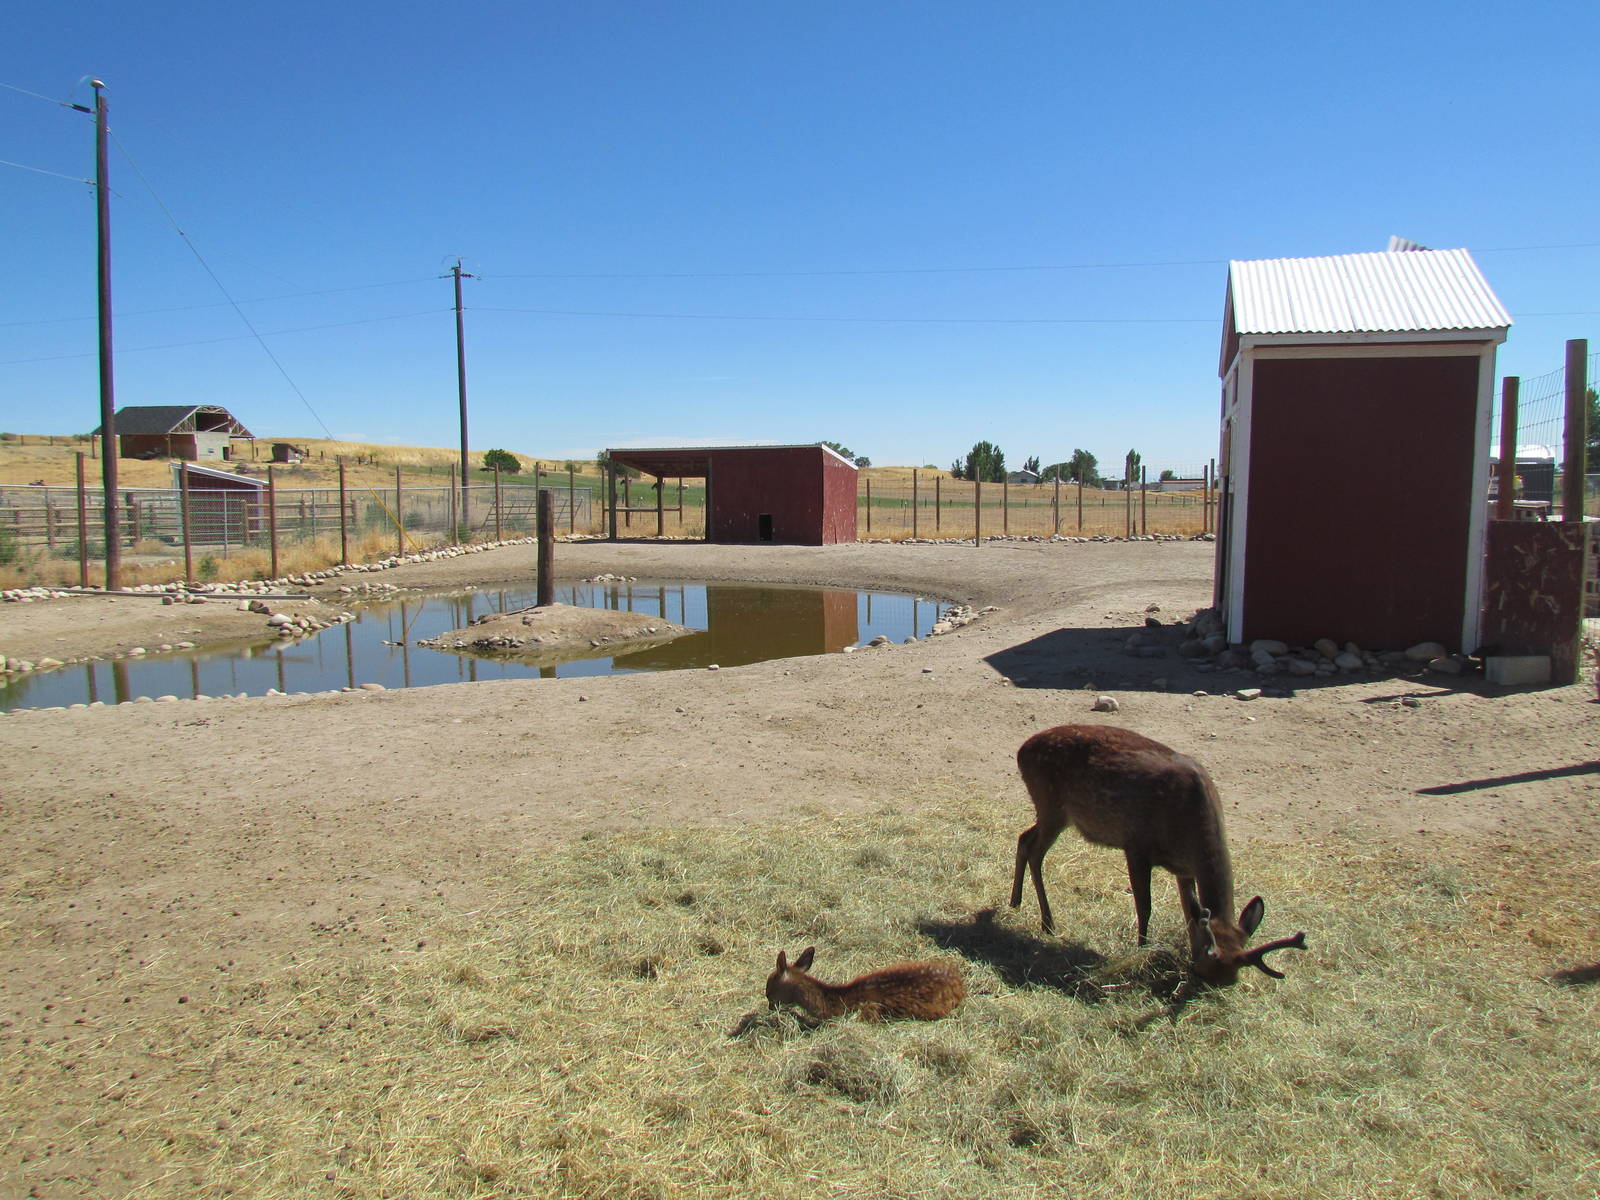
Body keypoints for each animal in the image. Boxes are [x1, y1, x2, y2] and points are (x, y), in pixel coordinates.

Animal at [1011, 724, 1306, 987]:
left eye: (1231, 977)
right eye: (1208, 967)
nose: (1205, 983)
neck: (1187, 820)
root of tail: (1022, 750)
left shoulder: (1184, 869)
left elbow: (1190, 913)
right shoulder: (1137, 846)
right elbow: (1145, 906)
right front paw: (1142, 950)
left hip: (1052, 811)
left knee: (1024, 838)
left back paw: (1017, 903)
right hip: (1052, 805)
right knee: (1034, 849)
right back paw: (1047, 923)